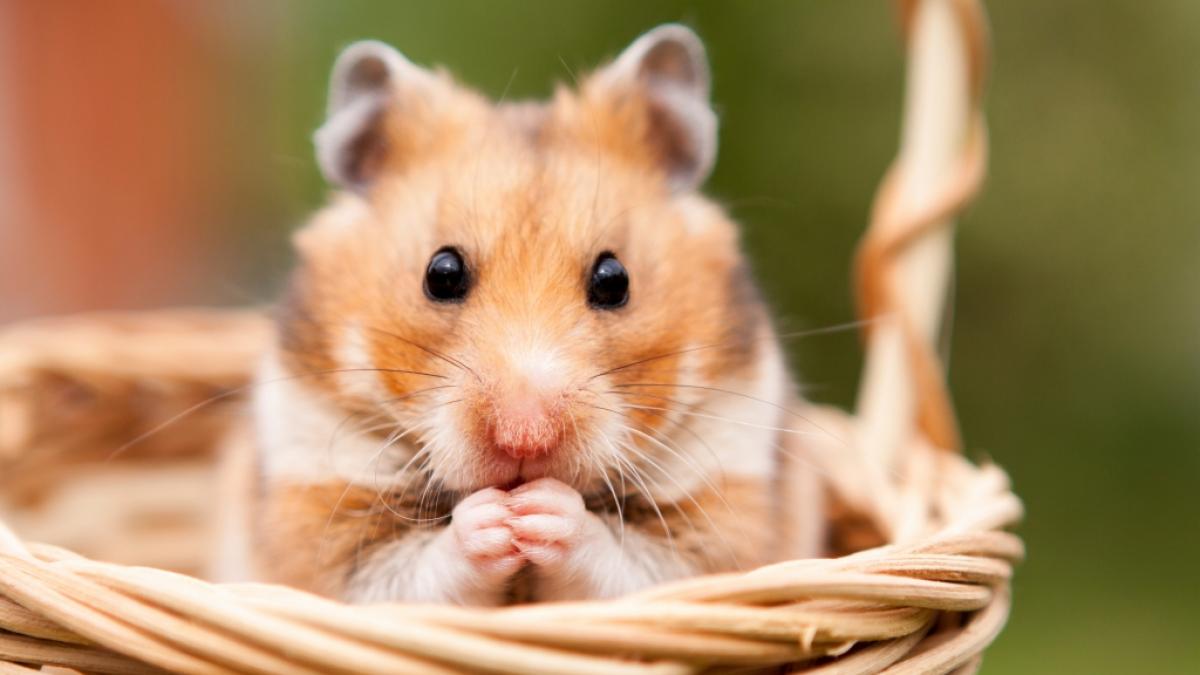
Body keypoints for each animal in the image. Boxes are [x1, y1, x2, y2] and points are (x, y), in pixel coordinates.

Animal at [231, 24, 824, 606]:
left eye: (615, 280)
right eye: (440, 273)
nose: (525, 439)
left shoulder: (722, 513)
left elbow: (629, 563)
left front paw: (541, 511)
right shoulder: (319, 510)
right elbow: (409, 572)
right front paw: (496, 519)